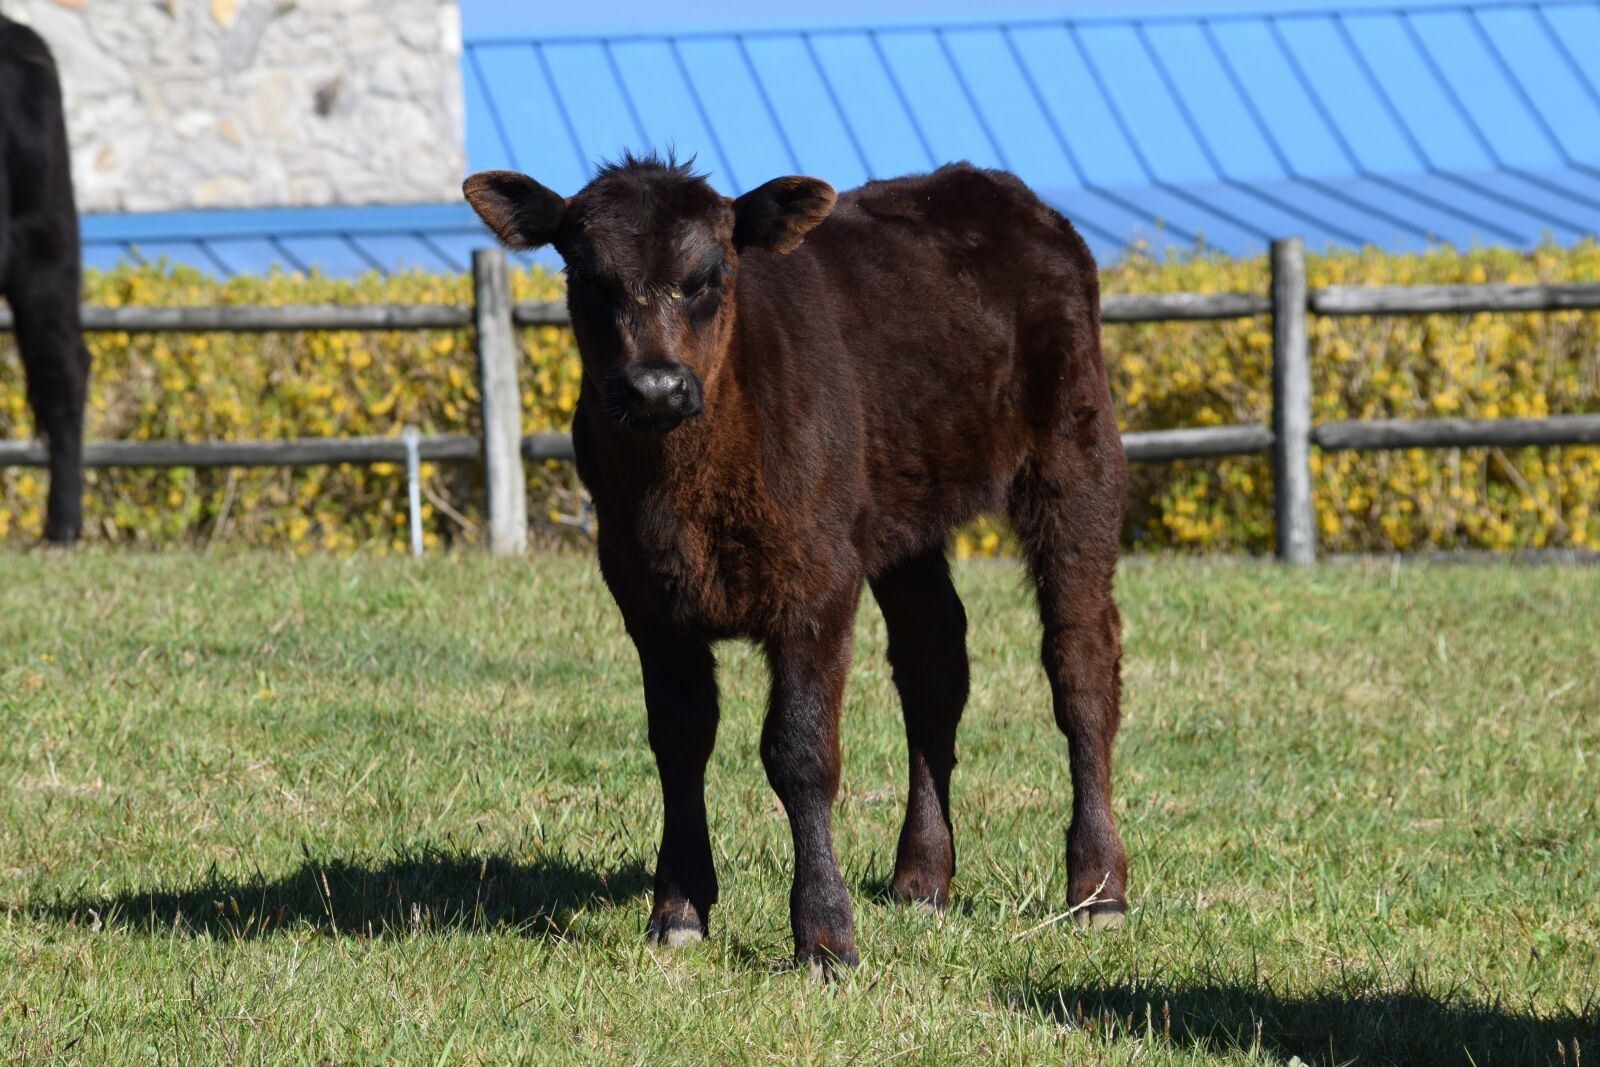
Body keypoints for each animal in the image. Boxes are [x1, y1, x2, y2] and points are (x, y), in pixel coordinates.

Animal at [464, 153, 1129, 973]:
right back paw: (922, 875)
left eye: (712, 274)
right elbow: (678, 738)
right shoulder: (642, 591)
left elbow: (800, 752)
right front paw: (678, 908)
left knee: (1080, 662)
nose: (655, 385)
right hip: (900, 515)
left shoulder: (817, 581)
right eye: (587, 275)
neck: (682, 494)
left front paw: (824, 933)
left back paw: (1097, 886)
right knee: (934, 664)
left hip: (1077, 454)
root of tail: (996, 189)